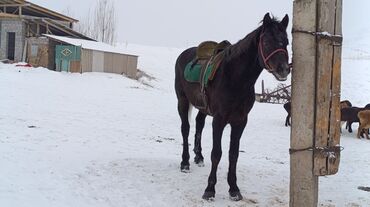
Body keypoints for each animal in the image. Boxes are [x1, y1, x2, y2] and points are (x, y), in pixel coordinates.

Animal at [175, 13, 290, 201]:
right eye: (266, 42)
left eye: (286, 42)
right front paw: (210, 189)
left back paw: (198, 156)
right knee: (185, 129)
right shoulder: (219, 120)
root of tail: (184, 54)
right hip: (182, 101)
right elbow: (217, 153)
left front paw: (234, 189)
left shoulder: (240, 121)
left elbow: (233, 154)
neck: (235, 78)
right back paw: (185, 162)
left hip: (203, 108)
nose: (284, 70)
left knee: (199, 124)